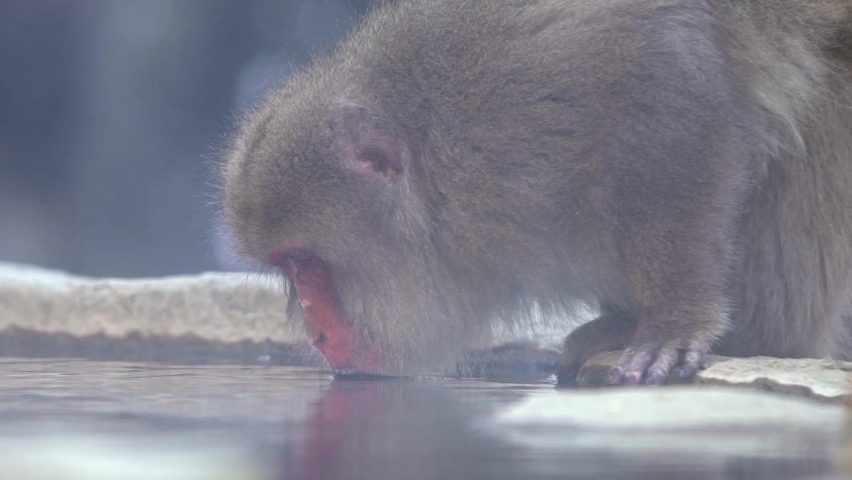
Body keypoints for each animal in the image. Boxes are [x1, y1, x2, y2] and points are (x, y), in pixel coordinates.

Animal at [220, 0, 852, 385]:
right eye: (290, 267)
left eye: (308, 261)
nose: (320, 333)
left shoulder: (541, 79)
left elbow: (675, 80)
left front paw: (672, 320)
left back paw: (760, 336)